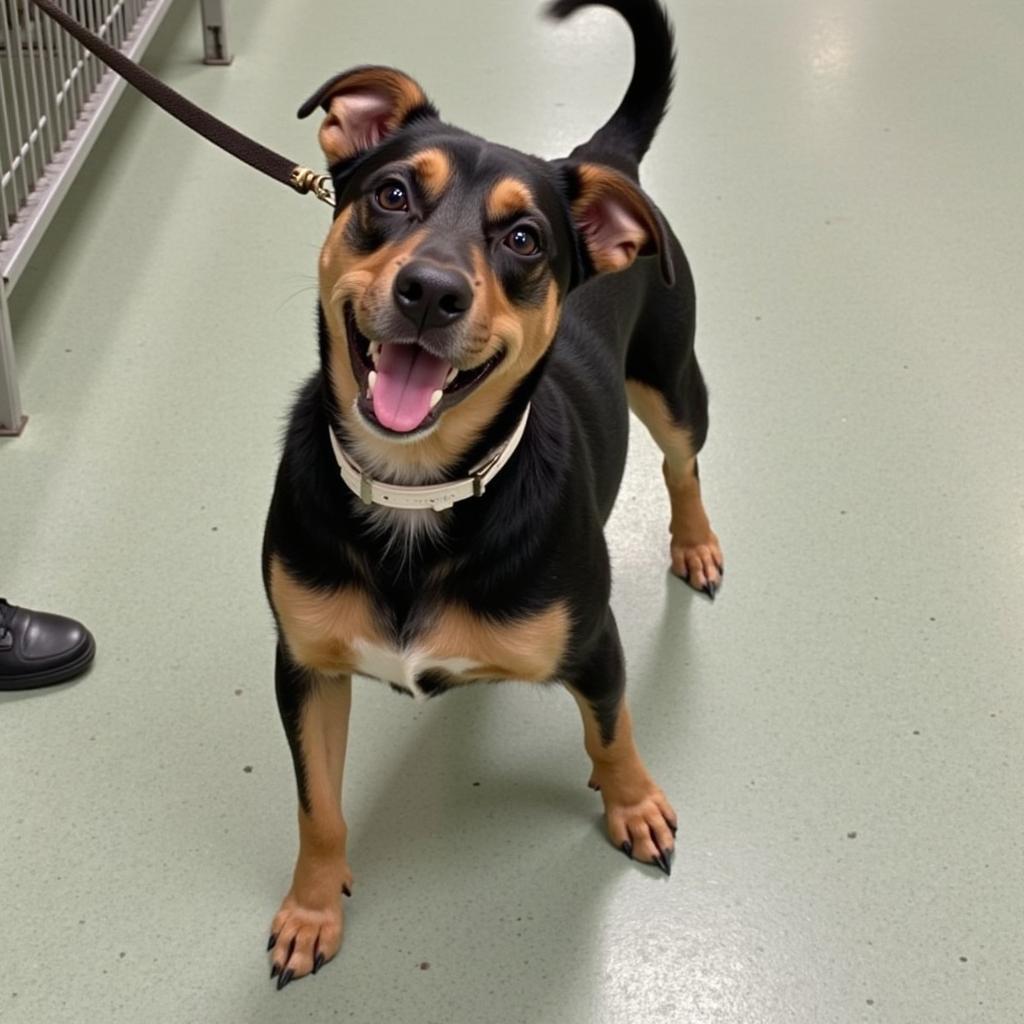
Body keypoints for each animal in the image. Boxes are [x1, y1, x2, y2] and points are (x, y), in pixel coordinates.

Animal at [266, 0, 729, 987]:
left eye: (524, 241)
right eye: (390, 195)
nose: (430, 291)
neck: (416, 492)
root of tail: (599, 155)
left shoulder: (592, 643)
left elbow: (613, 731)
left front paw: (632, 805)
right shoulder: (306, 667)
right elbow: (318, 805)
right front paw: (311, 910)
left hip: (673, 382)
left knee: (683, 464)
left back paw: (695, 542)